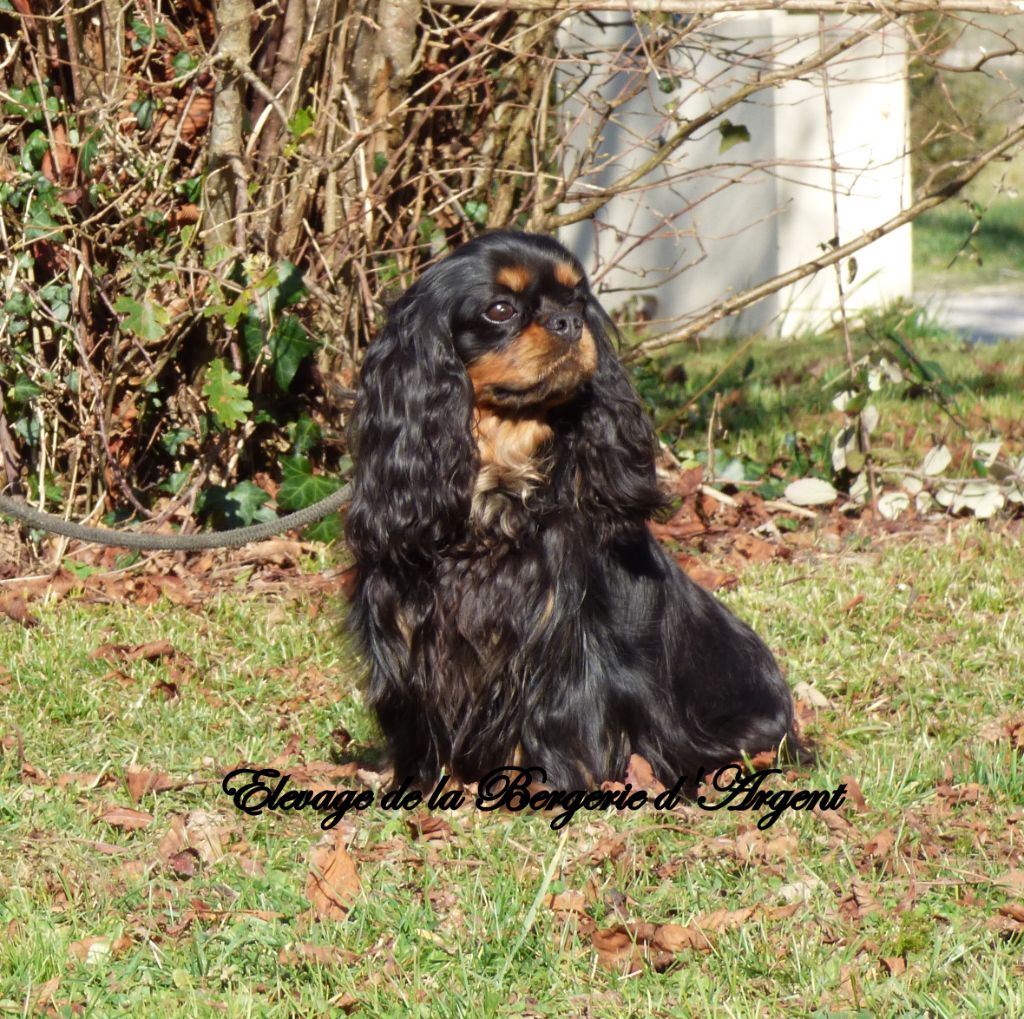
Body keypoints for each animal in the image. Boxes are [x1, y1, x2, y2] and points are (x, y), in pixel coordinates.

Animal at [348, 231, 802, 790]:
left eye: (577, 301)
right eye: (500, 309)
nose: (567, 322)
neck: (495, 495)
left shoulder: (561, 645)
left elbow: (558, 719)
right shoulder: (408, 632)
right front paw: (417, 785)